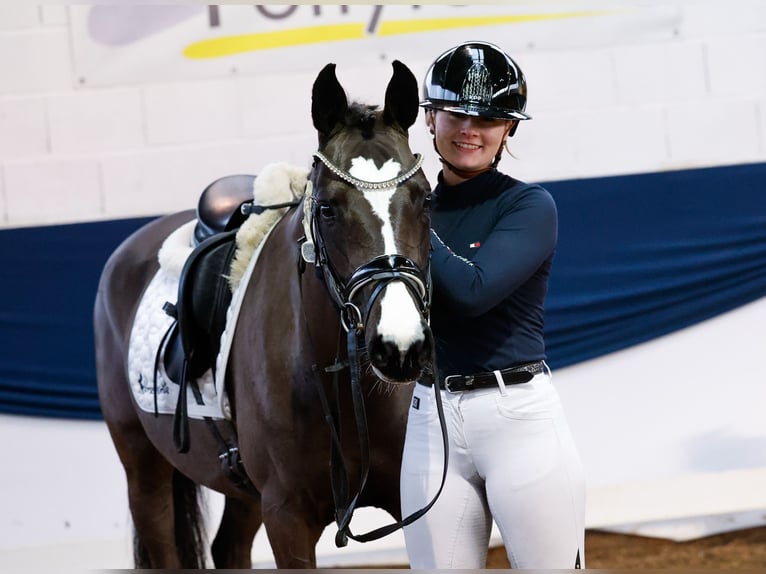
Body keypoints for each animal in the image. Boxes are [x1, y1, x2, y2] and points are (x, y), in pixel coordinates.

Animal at [93, 60, 436, 568]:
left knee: (228, 546)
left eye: (425, 198)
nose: (399, 347)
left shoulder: (410, 501)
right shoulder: (287, 517)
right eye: (328, 208)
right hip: (144, 469)